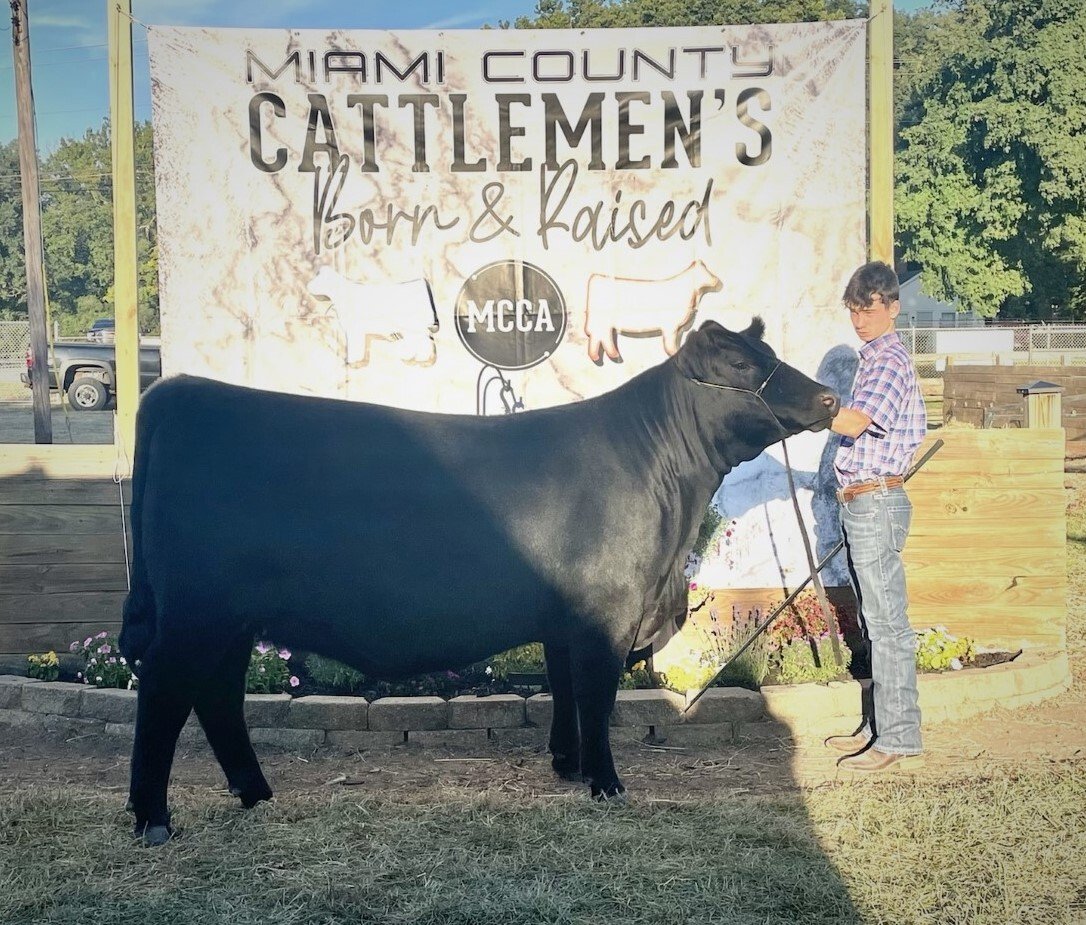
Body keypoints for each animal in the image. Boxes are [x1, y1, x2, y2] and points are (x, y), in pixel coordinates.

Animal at [118, 318, 838, 845]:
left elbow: (567, 694)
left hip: (231, 621)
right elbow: (597, 699)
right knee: (165, 693)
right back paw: (153, 819)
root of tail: (176, 391)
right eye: (741, 364)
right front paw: (607, 783)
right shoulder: (605, 616)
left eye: (768, 351)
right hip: (196, 615)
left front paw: (568, 766)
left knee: (215, 696)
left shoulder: (564, 619)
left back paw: (254, 791)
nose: (829, 399)